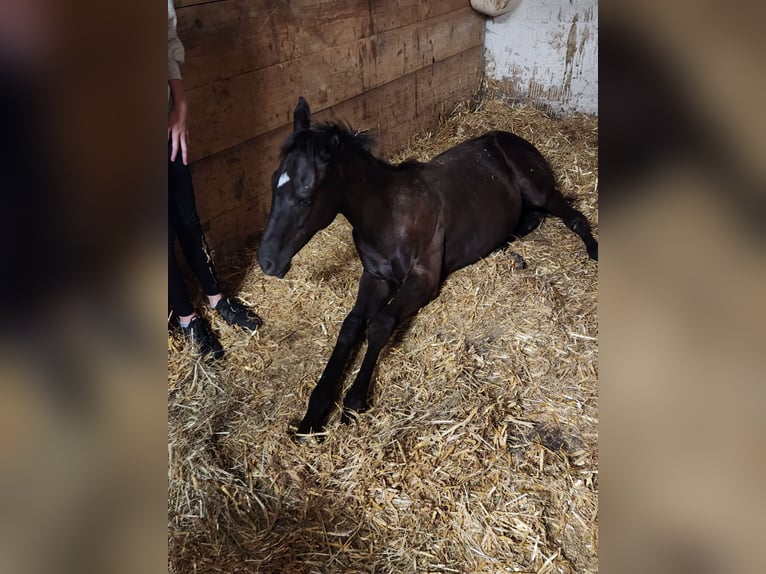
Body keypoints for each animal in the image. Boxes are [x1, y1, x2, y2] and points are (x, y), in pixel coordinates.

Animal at [260, 97, 600, 438]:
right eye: (274, 183)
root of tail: (514, 137)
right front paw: (314, 411)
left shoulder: (423, 280)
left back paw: (594, 249)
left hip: (539, 189)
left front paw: (354, 400)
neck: (389, 218)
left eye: (305, 196)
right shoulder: (375, 277)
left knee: (573, 218)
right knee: (530, 219)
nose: (267, 261)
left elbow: (380, 323)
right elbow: (351, 325)